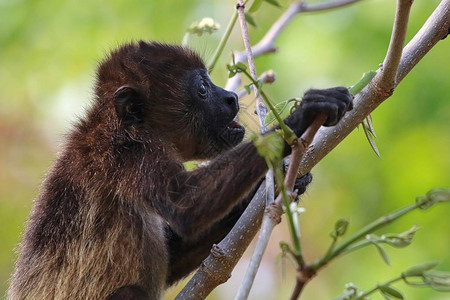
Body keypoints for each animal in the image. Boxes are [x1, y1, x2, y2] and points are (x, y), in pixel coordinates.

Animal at [6, 41, 352, 298]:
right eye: (202, 88)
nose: (231, 97)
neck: (120, 125)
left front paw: (284, 181)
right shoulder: (132, 153)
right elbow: (185, 204)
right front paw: (302, 116)